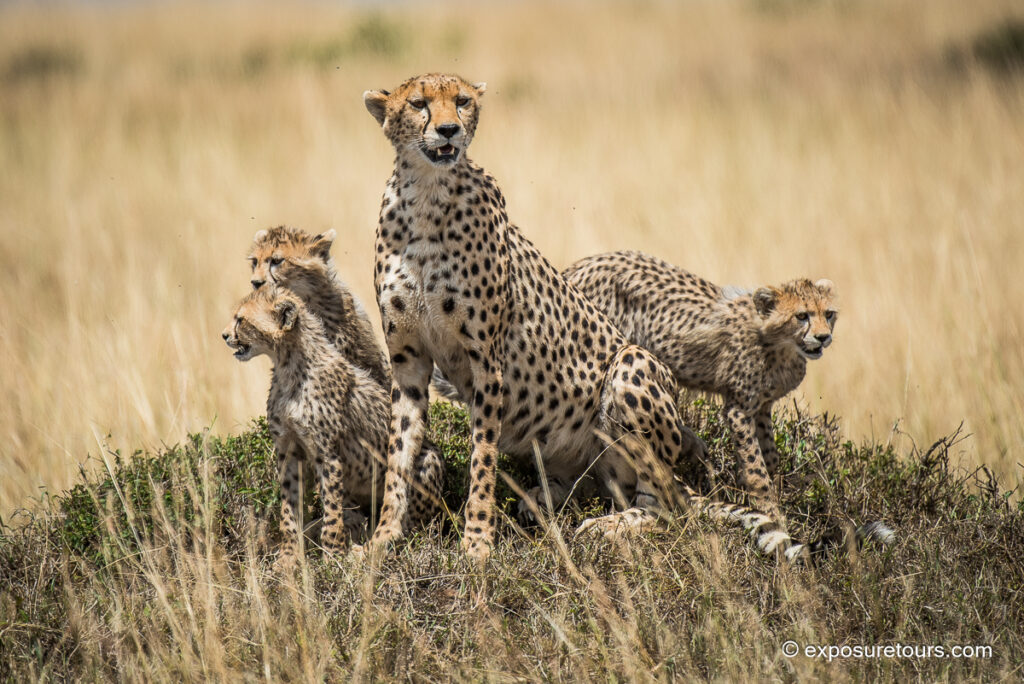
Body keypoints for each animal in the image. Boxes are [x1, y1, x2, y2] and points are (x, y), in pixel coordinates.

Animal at [222, 286, 443, 570]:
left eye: (241, 320)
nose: (225, 335)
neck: (288, 364)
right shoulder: (289, 451)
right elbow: (289, 508)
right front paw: (288, 558)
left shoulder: (327, 454)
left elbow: (331, 509)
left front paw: (333, 558)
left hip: (427, 460)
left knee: (412, 522)